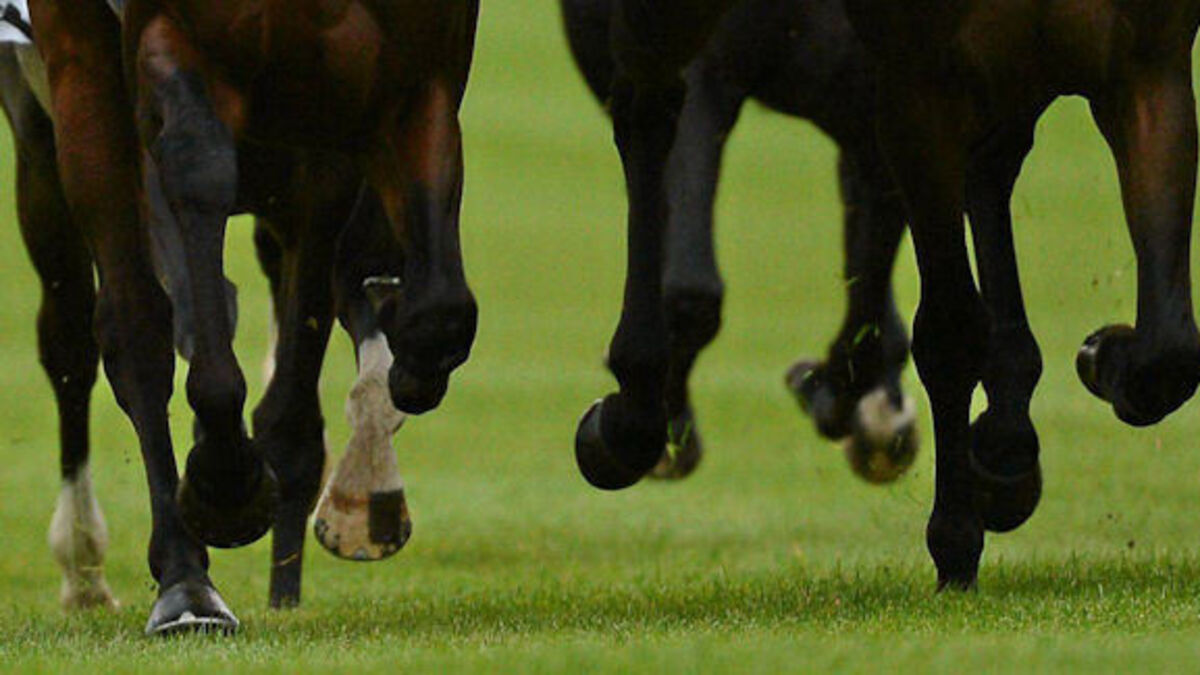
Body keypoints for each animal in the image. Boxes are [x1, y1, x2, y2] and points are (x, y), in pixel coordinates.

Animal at [28, 0, 479, 633]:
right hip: (78, 67)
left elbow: (435, 308)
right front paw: (224, 484)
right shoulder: (175, 43)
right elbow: (199, 168)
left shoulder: (410, 73)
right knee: (132, 329)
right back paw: (185, 582)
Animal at [842, 0, 1200, 589]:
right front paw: (956, 539)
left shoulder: (1147, 65)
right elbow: (950, 329)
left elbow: (1169, 347)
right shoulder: (920, 85)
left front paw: (1105, 355)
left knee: (992, 168)